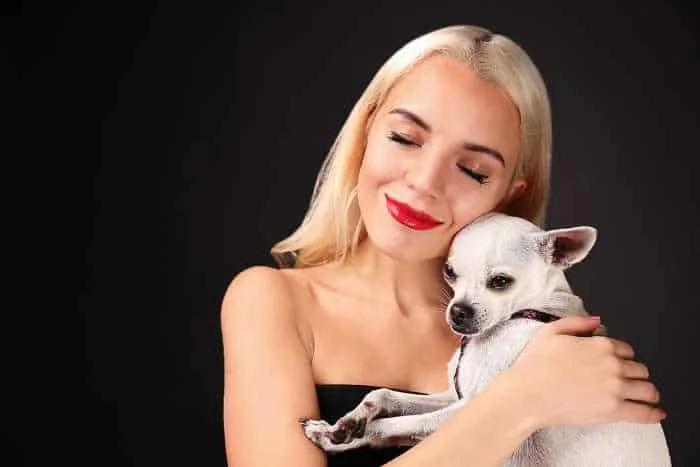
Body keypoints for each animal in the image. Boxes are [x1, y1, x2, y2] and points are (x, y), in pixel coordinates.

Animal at [302, 214, 672, 466]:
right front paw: (348, 422)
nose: (458, 311)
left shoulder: (473, 409)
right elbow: (383, 396)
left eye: (500, 281)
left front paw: (338, 436)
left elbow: (390, 425)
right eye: (450, 272)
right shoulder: (456, 397)